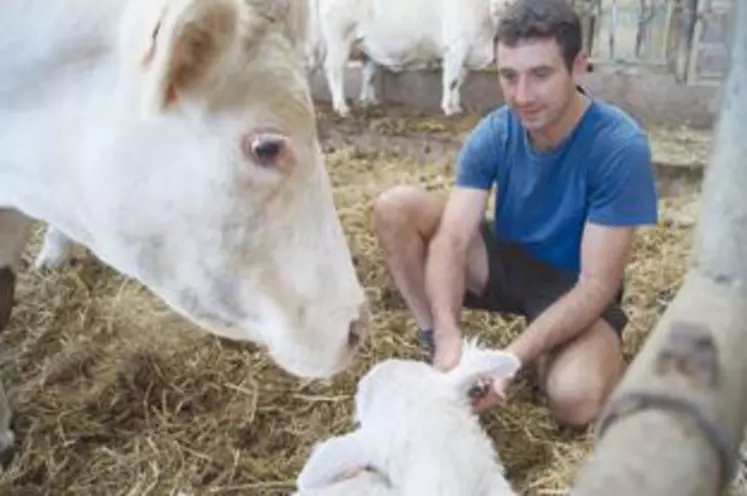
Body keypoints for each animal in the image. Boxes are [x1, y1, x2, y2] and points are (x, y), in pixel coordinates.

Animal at [316, 0, 516, 117]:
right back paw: (341, 107)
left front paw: (457, 106)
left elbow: (459, 81)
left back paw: (369, 102)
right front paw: (448, 109)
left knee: (368, 72)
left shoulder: (467, 53)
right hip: (340, 38)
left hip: (363, 43)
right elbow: (451, 80)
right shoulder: (455, 46)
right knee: (333, 68)